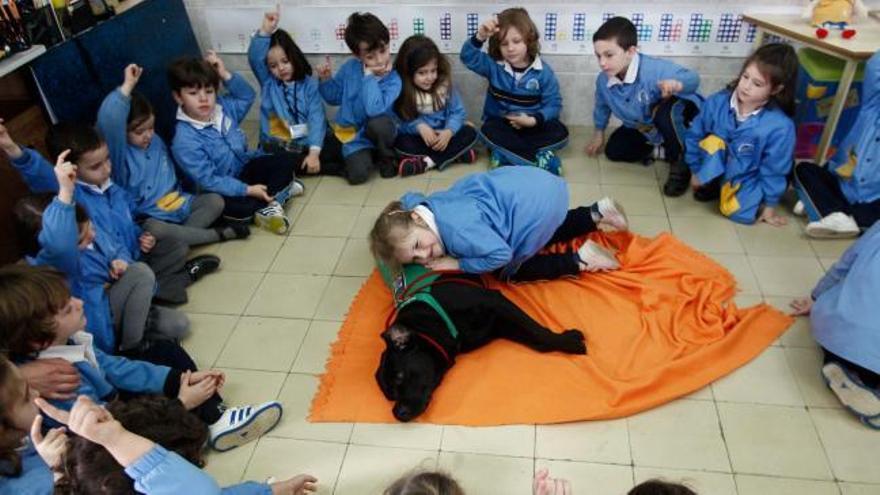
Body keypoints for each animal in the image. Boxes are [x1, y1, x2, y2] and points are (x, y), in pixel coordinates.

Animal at [374, 276, 588, 422]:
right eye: (390, 395)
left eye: (400, 376)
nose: (397, 414)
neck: (436, 317)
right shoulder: (500, 325)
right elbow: (537, 340)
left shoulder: (497, 303)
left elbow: (537, 332)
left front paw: (568, 341)